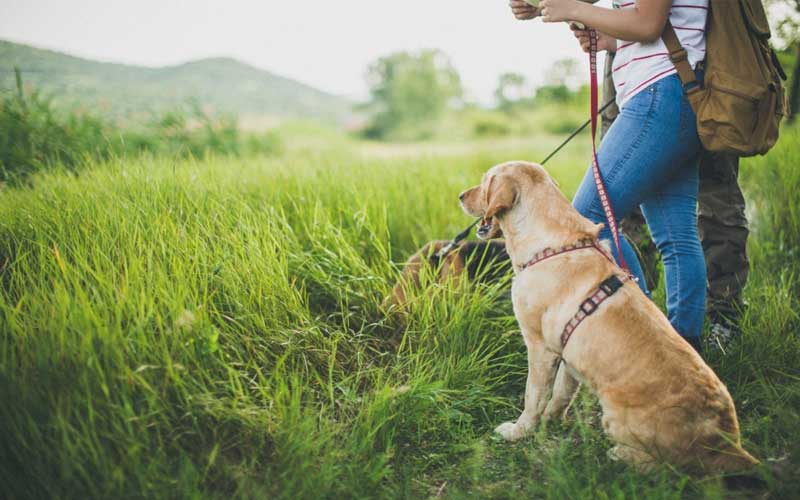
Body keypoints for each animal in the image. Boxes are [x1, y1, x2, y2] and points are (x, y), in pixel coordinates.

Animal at [460, 162, 752, 474]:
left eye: (485, 182)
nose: (460, 196)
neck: (551, 246)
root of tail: (726, 443)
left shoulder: (539, 348)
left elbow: (533, 397)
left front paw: (518, 431)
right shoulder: (567, 357)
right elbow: (561, 394)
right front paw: (551, 421)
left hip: (615, 417)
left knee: (661, 466)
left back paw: (619, 455)